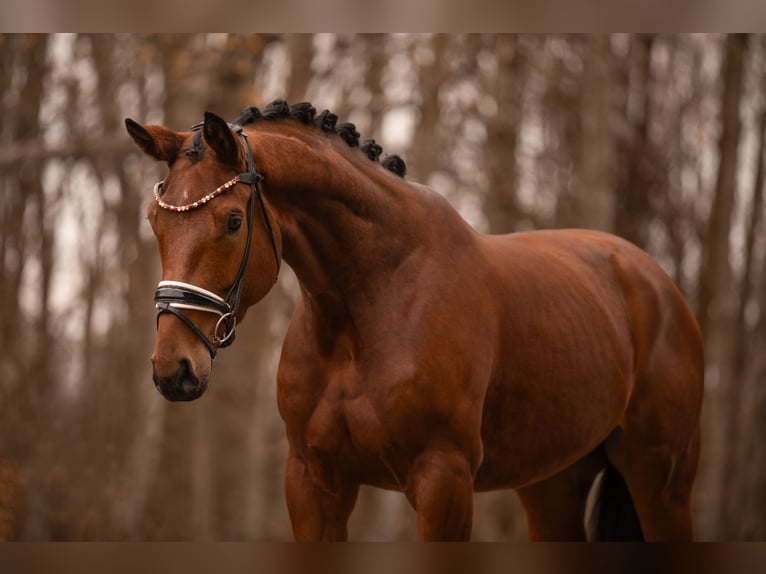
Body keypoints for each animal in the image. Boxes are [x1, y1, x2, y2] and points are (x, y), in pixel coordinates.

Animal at [127, 100, 708, 544]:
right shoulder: (314, 482)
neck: (369, 311)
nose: (173, 368)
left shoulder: (442, 480)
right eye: (155, 221)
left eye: (232, 221)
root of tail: (654, 280)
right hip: (553, 484)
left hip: (663, 482)